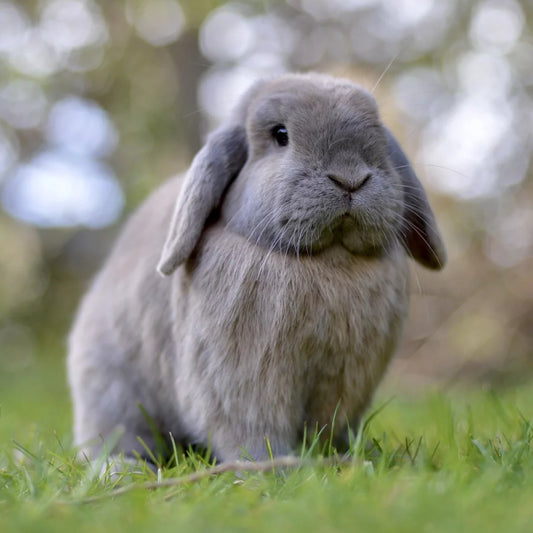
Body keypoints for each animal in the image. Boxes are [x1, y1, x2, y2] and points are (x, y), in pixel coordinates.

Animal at [68, 71, 446, 466]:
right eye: (280, 134)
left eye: (378, 132)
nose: (350, 178)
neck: (329, 261)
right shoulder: (243, 379)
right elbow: (252, 429)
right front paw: (277, 467)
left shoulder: (346, 382)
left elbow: (331, 426)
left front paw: (342, 457)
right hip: (112, 388)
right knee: (117, 437)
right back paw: (119, 469)